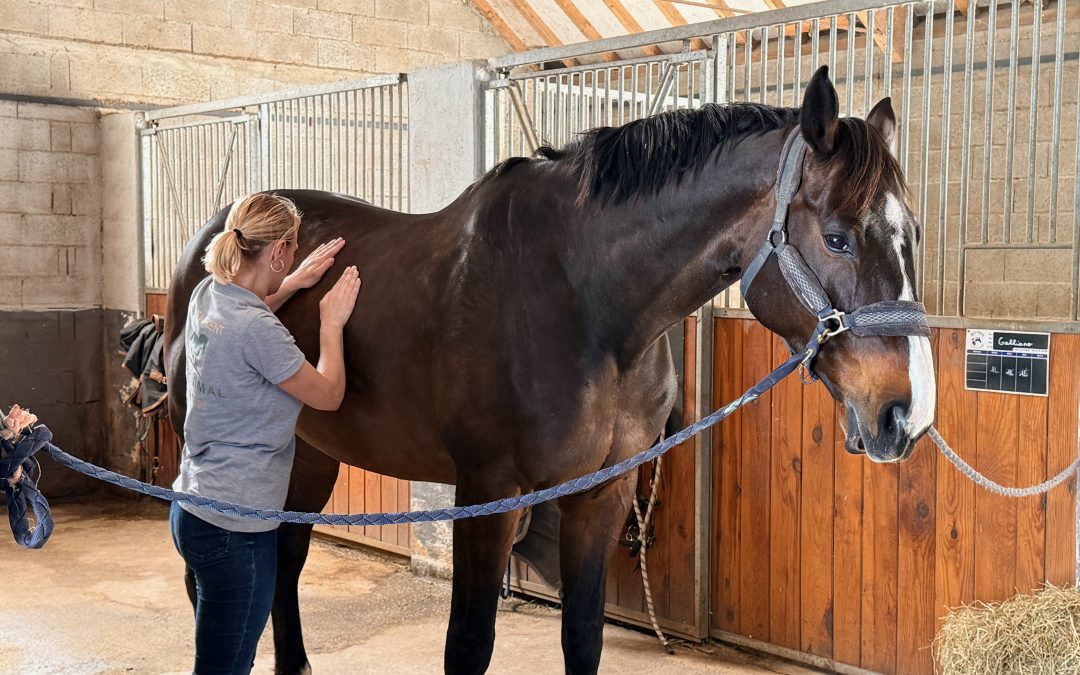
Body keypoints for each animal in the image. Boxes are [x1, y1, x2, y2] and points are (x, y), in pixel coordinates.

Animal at [164, 67, 935, 675]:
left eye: (915, 235)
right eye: (837, 237)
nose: (908, 414)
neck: (584, 299)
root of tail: (210, 242)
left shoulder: (603, 493)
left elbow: (583, 638)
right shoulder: (488, 492)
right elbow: (468, 646)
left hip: (309, 454)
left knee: (283, 561)